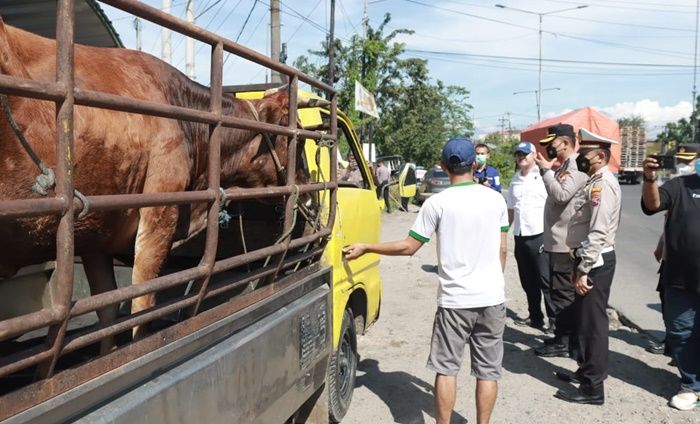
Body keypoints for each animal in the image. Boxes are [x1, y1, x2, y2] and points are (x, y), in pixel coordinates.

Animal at [0, 19, 306, 342]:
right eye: (297, 138)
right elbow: (142, 301)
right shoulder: (161, 207)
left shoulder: (95, 233)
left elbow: (107, 311)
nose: (309, 186)